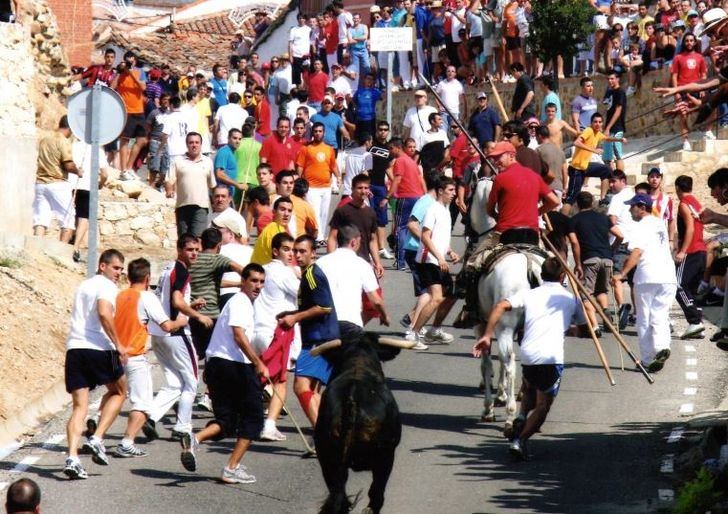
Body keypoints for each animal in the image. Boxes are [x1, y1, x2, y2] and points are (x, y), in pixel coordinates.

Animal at [470, 177, 544, 432]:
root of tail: (529, 264)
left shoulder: (482, 325)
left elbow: (487, 365)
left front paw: (489, 408)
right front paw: (501, 395)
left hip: (503, 325)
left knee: (509, 362)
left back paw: (511, 415)